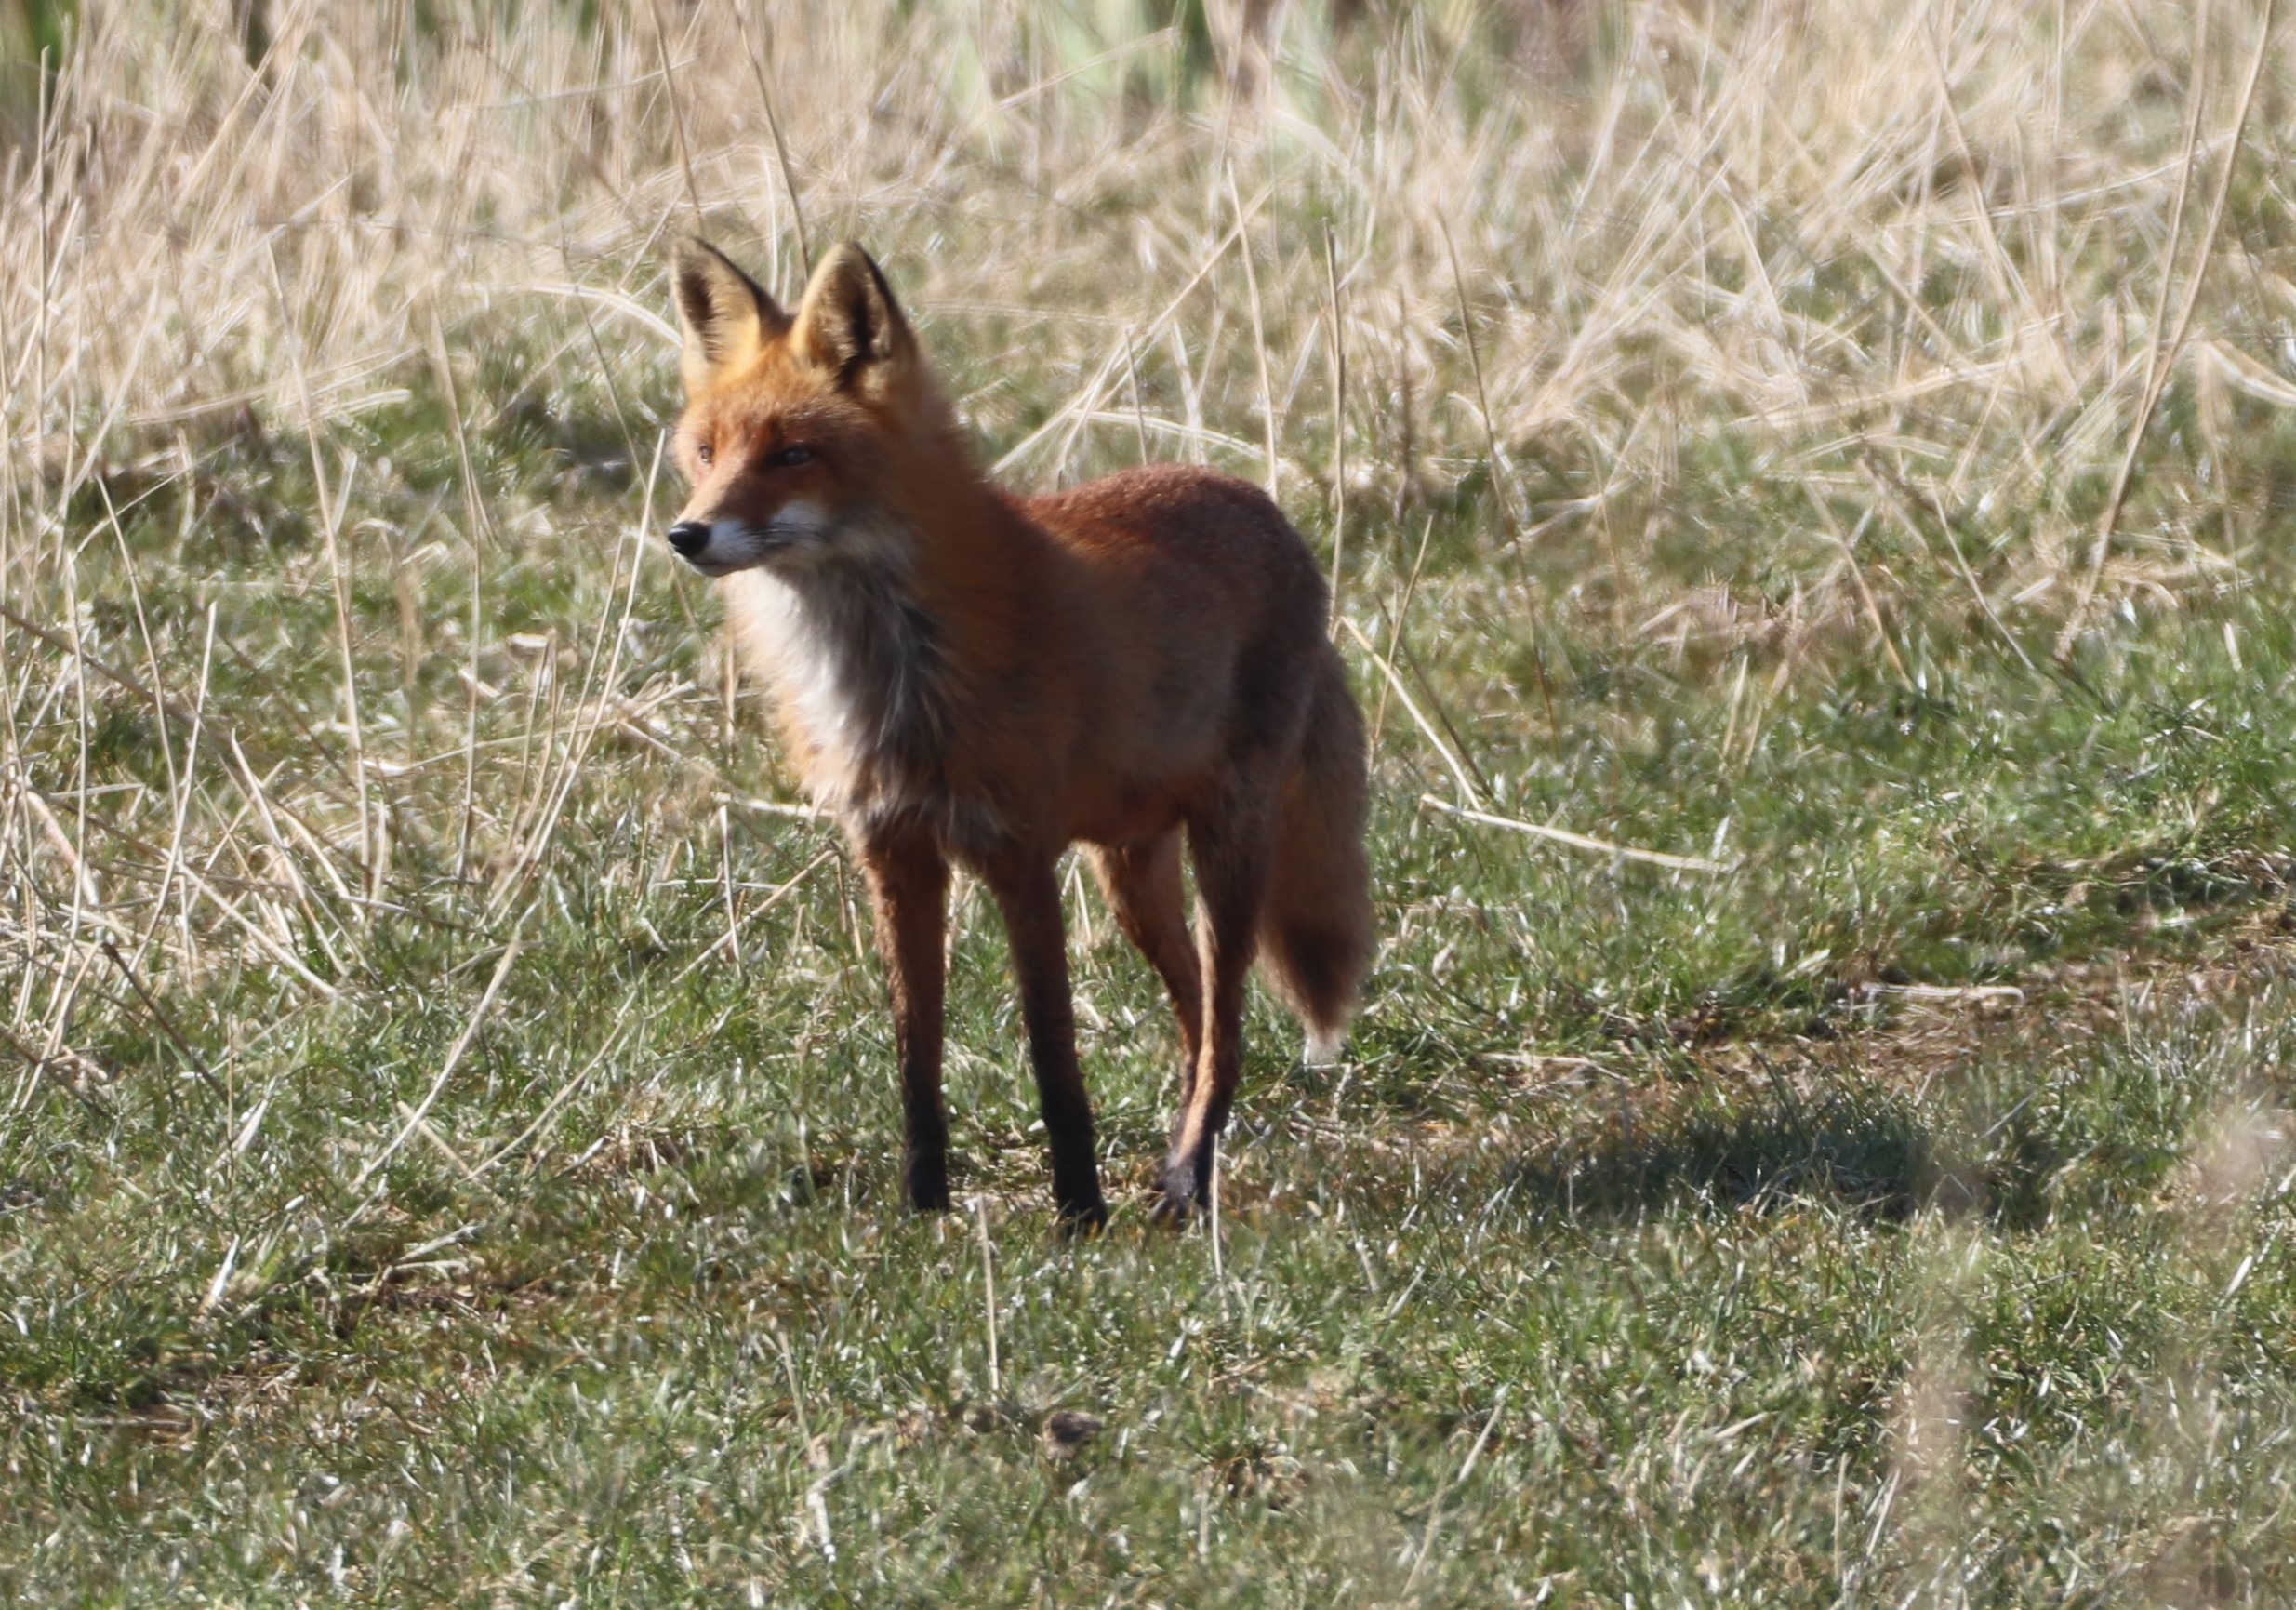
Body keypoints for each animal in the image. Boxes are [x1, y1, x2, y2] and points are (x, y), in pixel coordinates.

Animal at [663, 236, 1371, 1228]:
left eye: (793, 455)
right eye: (705, 452)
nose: (686, 534)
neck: (892, 671)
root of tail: (1260, 503)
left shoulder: (1017, 851)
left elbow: (1051, 1052)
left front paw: (1077, 1211)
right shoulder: (894, 851)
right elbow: (914, 1051)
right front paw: (924, 1205)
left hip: (1228, 850)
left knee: (1227, 1026)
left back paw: (1186, 1180)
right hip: (1131, 875)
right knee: (1198, 1017)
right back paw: (1175, 1161)